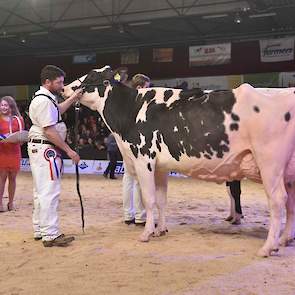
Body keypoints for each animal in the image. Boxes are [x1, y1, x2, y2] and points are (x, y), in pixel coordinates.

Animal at [64, 66, 295, 258]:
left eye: (91, 76)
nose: (66, 88)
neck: (130, 112)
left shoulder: (143, 159)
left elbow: (149, 199)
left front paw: (146, 233)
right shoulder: (160, 166)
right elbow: (161, 199)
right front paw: (160, 230)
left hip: (269, 162)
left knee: (278, 200)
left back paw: (268, 247)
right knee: (290, 202)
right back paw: (284, 239)